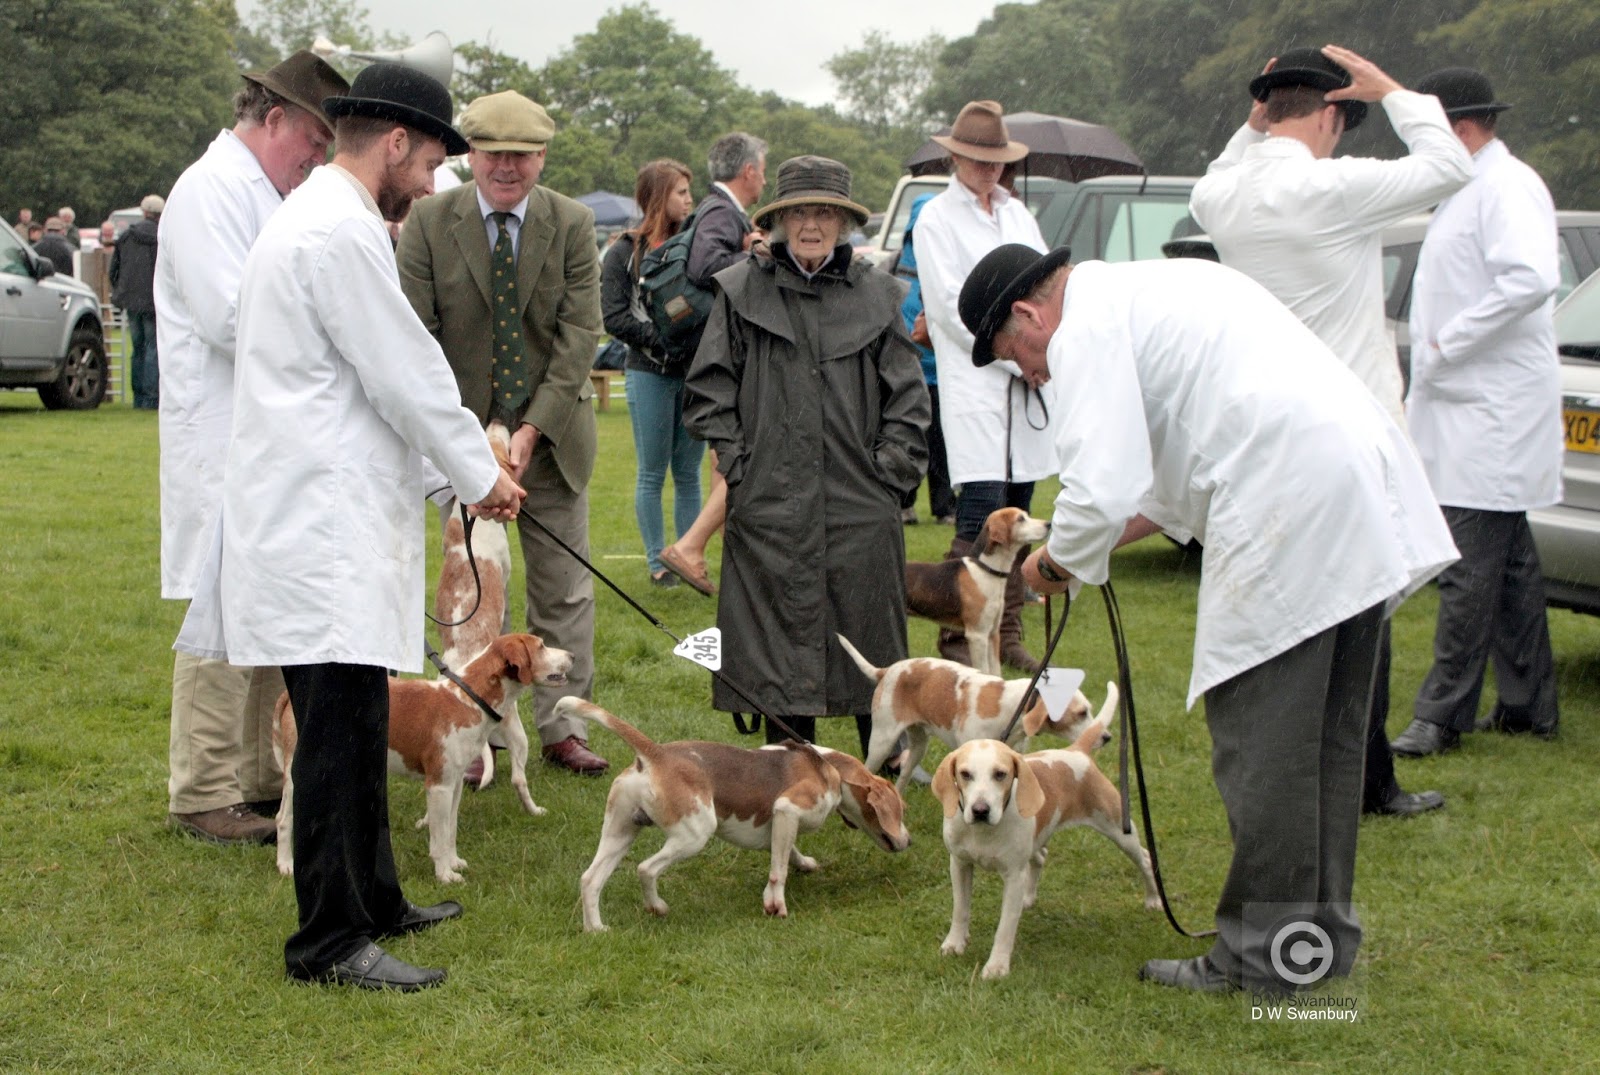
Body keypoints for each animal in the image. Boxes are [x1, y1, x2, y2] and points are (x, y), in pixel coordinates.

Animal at [273, 633, 573, 883]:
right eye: (541, 646)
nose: (571, 655)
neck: (467, 699)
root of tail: (289, 695)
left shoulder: (455, 784)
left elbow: (450, 831)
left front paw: (454, 862)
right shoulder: (438, 786)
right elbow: (438, 838)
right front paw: (445, 874)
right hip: (297, 778)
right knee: (283, 819)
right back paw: (286, 864)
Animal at [560, 698, 911, 931]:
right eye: (901, 811)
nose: (908, 841)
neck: (829, 768)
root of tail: (655, 754)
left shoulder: (780, 824)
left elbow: (786, 852)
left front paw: (804, 865)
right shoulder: (788, 808)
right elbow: (778, 870)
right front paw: (775, 905)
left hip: (620, 832)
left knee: (590, 880)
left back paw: (596, 929)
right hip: (694, 834)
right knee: (646, 869)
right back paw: (656, 906)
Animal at [837, 633, 1104, 793]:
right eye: (1082, 713)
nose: (1106, 736)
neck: (1010, 707)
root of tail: (887, 670)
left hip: (918, 746)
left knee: (902, 777)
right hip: (881, 743)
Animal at [903, 507, 1051, 676]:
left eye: (1027, 515)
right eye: (1020, 519)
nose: (1049, 524)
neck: (987, 569)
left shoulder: (993, 633)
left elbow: (995, 671)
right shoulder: (978, 635)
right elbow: (984, 670)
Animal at [932, 720, 1162, 980]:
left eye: (1000, 774)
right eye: (965, 774)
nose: (981, 810)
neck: (982, 832)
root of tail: (1076, 751)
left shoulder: (1014, 876)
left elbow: (1005, 927)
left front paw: (997, 966)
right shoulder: (960, 864)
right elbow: (960, 910)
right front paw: (955, 944)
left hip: (1120, 829)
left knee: (1145, 859)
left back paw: (1153, 899)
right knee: (1040, 857)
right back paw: (1028, 897)